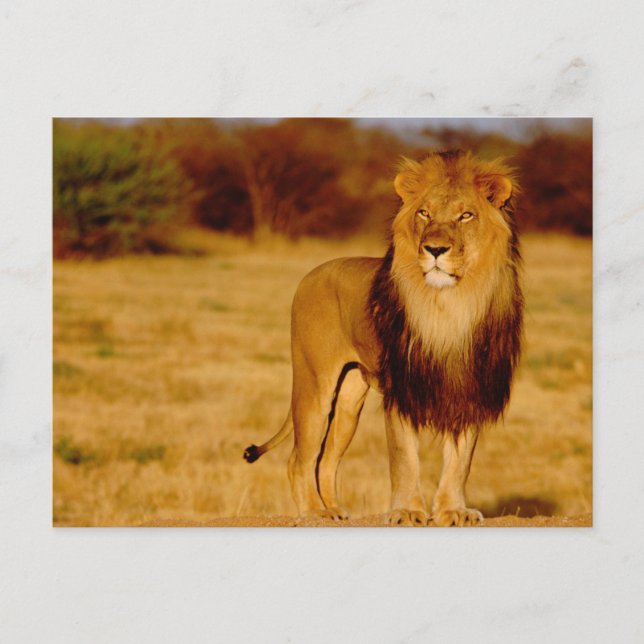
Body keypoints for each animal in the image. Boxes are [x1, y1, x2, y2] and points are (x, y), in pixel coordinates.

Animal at [244, 150, 523, 526]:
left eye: (466, 215)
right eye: (424, 213)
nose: (434, 249)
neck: (448, 306)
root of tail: (312, 273)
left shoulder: (469, 387)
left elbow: (460, 461)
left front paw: (452, 511)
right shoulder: (401, 389)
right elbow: (404, 456)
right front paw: (407, 510)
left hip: (349, 401)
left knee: (326, 459)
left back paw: (333, 509)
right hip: (314, 386)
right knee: (299, 458)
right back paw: (314, 512)